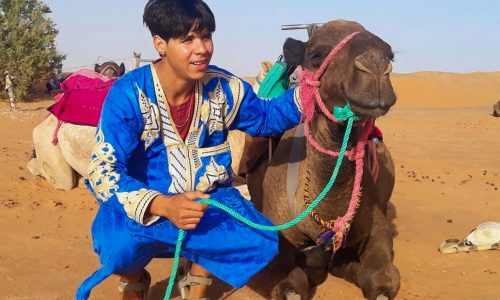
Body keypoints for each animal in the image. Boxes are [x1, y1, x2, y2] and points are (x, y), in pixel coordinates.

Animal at [248, 19, 400, 298]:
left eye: (390, 54)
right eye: (316, 55)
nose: (375, 65)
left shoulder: (377, 228)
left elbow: (381, 279)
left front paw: (347, 266)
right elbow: (289, 284)